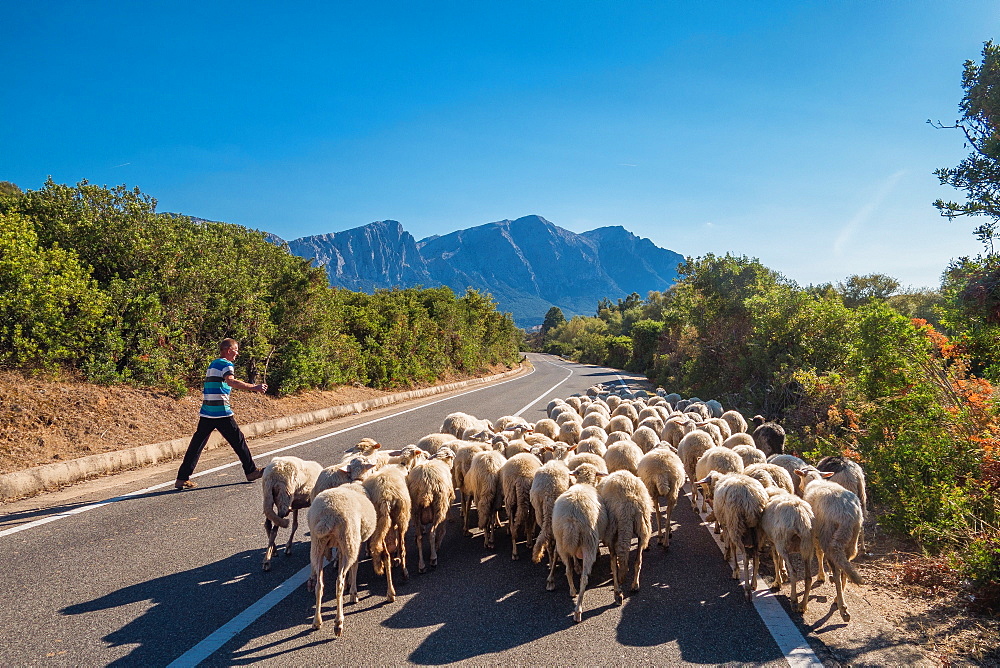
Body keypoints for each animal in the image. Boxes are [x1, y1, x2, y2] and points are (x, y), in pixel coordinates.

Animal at [552, 462, 604, 624]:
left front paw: (576, 566)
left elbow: (574, 556)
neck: (584, 484)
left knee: (567, 570)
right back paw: (578, 611)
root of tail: (572, 520)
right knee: (584, 579)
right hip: (589, 542)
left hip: (561, 540)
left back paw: (572, 591)